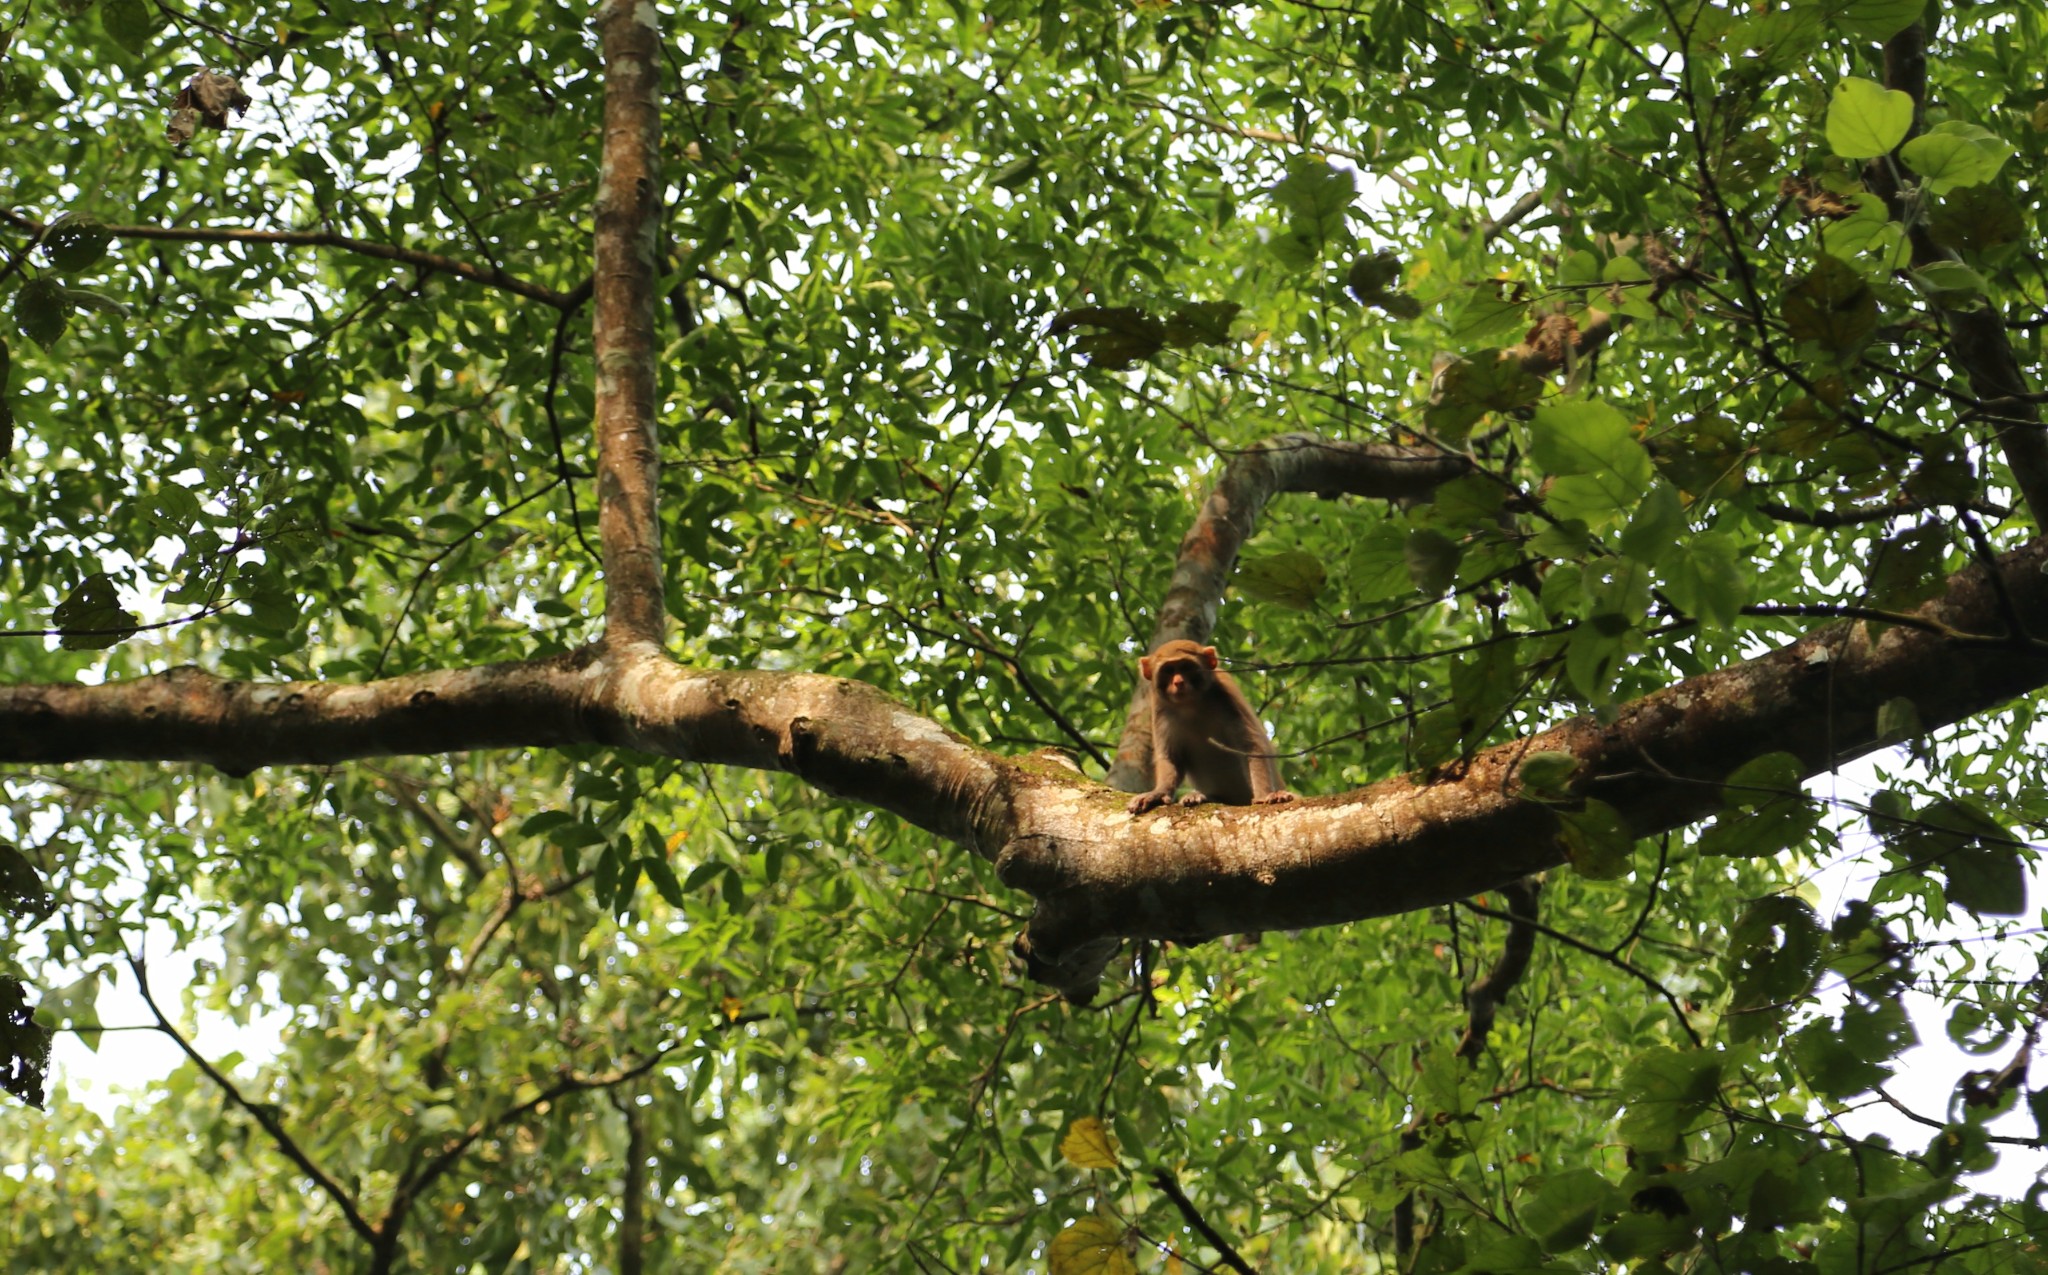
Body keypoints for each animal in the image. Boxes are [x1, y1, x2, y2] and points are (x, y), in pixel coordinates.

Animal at [1130, 638, 1286, 818]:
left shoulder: (1226, 697)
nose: (1178, 682)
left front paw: (1263, 796)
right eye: (1168, 670)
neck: (1190, 705)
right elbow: (1170, 757)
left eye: (1186, 667)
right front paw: (1158, 793)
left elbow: (1251, 747)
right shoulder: (1160, 708)